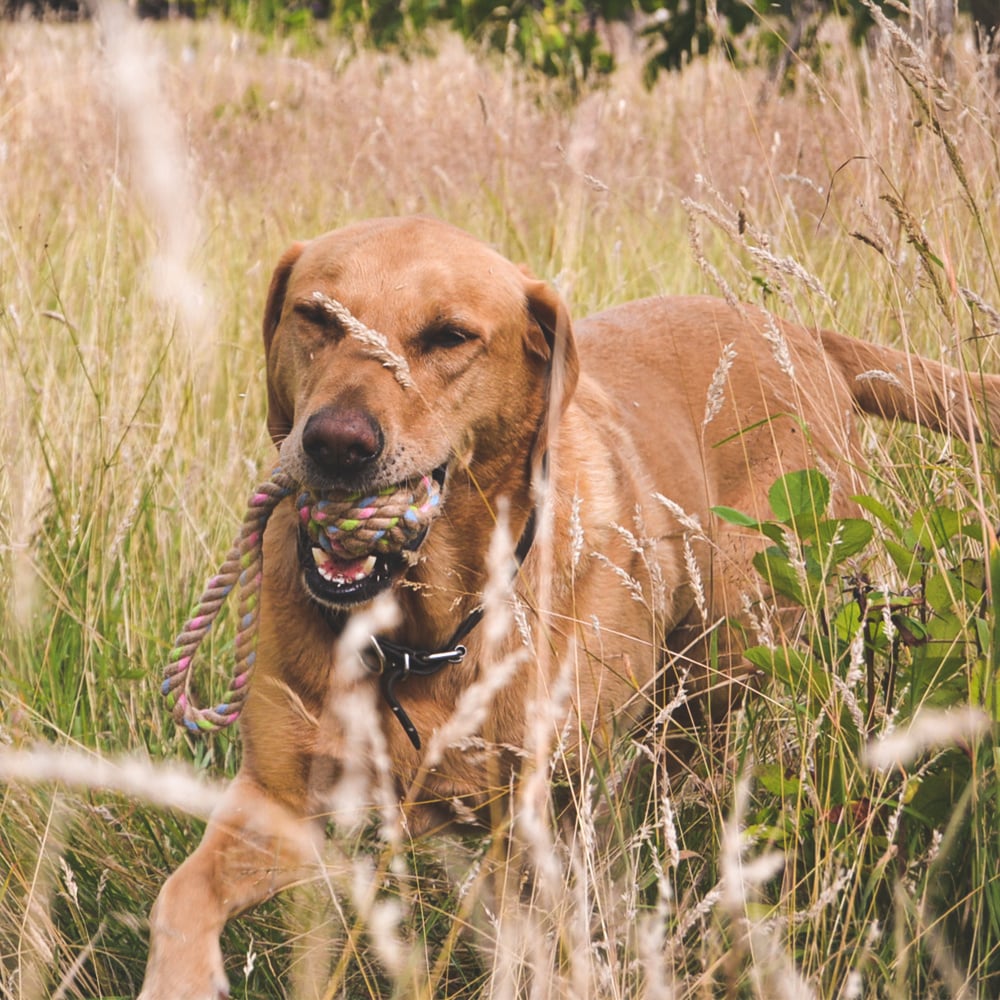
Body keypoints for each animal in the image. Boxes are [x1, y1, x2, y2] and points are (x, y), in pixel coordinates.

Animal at [139, 215, 1000, 996]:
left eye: (449, 336)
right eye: (316, 316)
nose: (336, 444)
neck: (428, 629)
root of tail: (802, 335)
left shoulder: (537, 828)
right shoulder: (281, 804)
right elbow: (181, 898)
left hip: (722, 671)